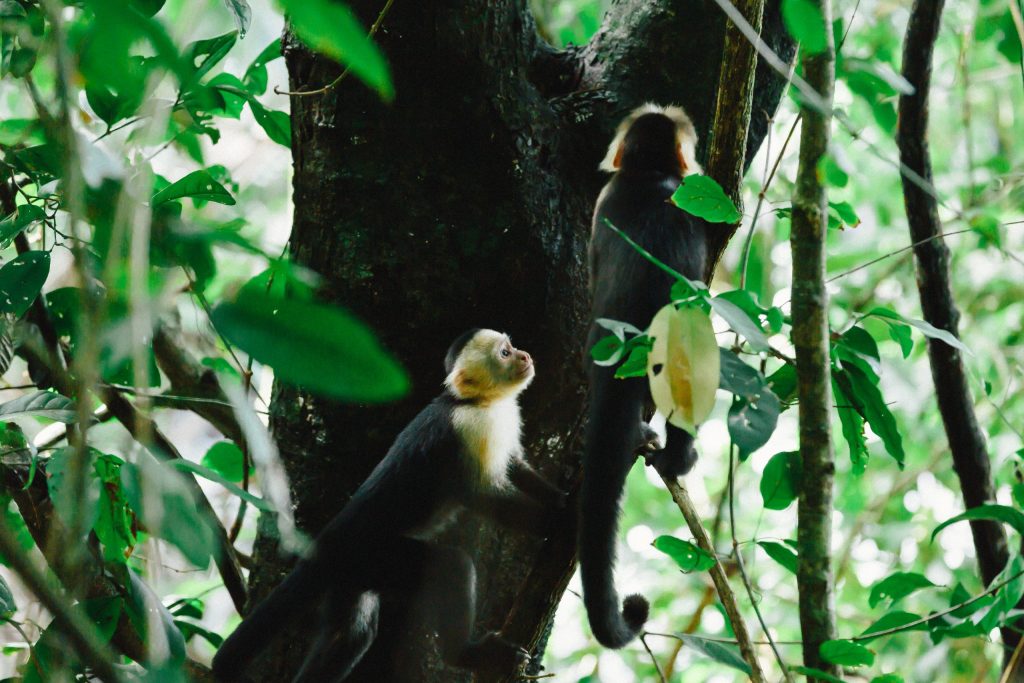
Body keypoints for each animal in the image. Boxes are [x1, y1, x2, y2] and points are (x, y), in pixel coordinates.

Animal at [211, 329, 566, 683]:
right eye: (504, 353)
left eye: (512, 345)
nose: (524, 356)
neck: (477, 402)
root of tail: (327, 542)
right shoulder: (469, 428)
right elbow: (482, 495)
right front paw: (556, 521)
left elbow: (517, 467)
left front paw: (563, 499)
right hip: (376, 554)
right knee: (452, 566)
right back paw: (466, 654)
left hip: (353, 574)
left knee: (349, 636)